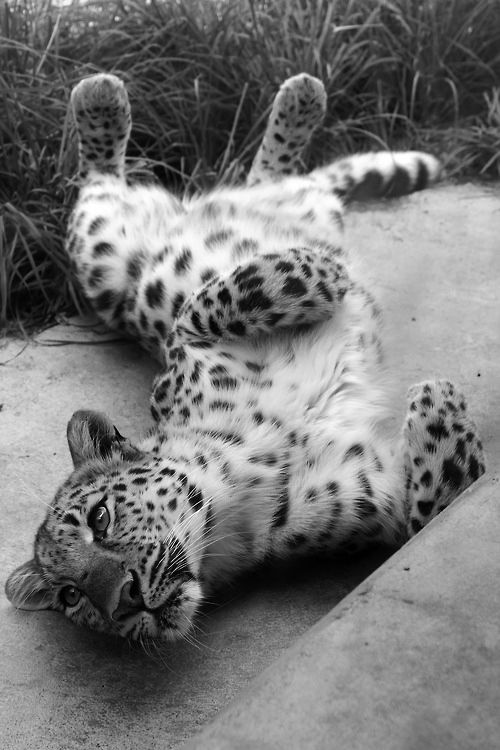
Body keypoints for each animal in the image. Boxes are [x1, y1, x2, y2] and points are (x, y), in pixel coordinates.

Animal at [5, 72, 486, 643]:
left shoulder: (190, 345)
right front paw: (437, 398)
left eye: (99, 518)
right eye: (72, 597)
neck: (237, 493)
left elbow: (222, 296)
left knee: (105, 176)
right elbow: (438, 503)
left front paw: (323, 270)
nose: (121, 601)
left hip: (106, 256)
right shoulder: (385, 505)